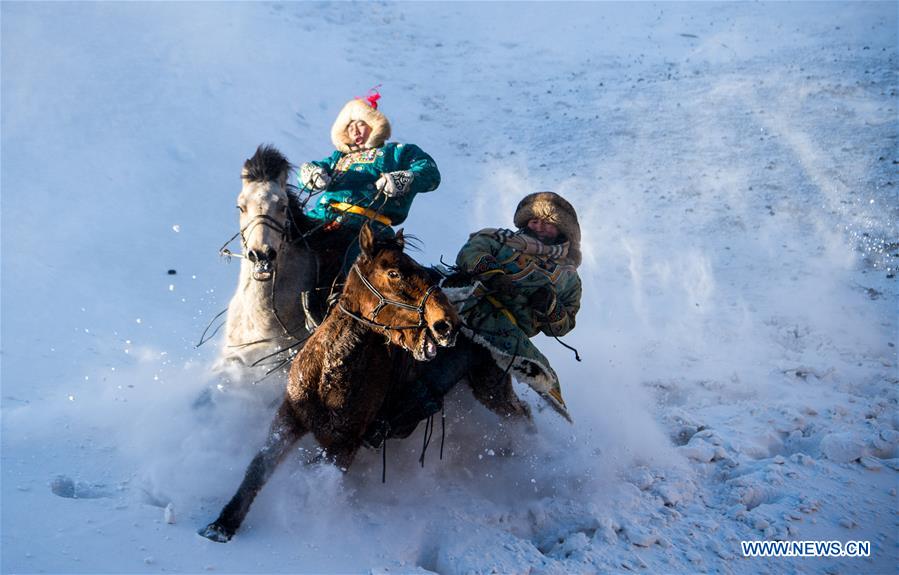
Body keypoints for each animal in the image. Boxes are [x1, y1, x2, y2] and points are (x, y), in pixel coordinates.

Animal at [199, 223, 461, 542]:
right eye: (394, 273)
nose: (447, 324)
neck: (330, 374)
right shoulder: (289, 416)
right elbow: (259, 466)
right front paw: (222, 524)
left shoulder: (344, 445)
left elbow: (312, 475)